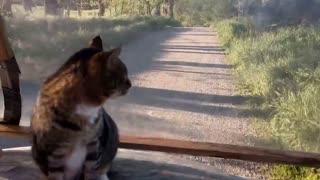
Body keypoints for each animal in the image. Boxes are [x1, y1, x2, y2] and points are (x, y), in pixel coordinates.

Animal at [30, 35, 130, 179]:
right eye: (124, 74)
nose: (130, 84)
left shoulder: (94, 146)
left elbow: (91, 171)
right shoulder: (54, 153)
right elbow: (56, 174)